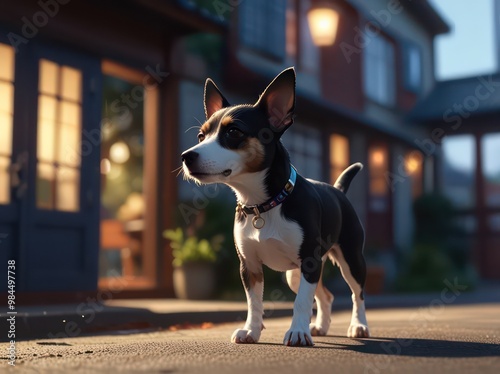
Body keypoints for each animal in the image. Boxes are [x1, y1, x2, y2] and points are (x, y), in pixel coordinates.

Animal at [182, 68, 370, 348]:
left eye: (234, 132)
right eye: (201, 137)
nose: (186, 156)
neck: (263, 204)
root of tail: (338, 190)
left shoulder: (310, 262)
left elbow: (301, 301)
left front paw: (297, 332)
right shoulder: (249, 266)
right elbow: (254, 303)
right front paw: (251, 330)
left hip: (350, 260)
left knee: (357, 294)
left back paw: (358, 325)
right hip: (296, 274)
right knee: (326, 296)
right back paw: (321, 326)